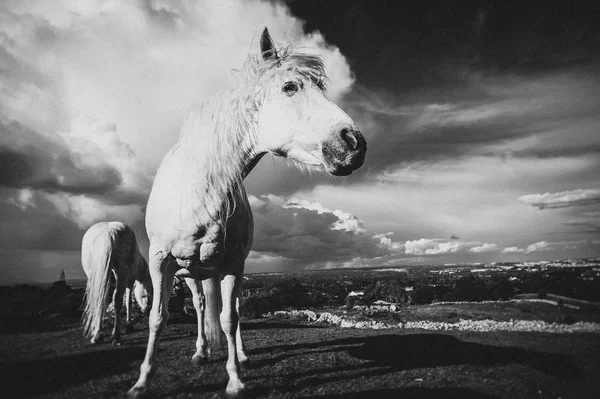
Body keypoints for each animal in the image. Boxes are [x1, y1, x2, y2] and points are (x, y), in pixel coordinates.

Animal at [127, 27, 366, 396]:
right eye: (290, 87)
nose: (354, 143)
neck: (197, 194)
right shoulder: (160, 261)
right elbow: (158, 317)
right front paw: (142, 381)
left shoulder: (232, 266)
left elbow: (229, 318)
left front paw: (236, 379)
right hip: (190, 274)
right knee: (200, 306)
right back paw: (201, 351)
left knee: (231, 309)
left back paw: (239, 356)